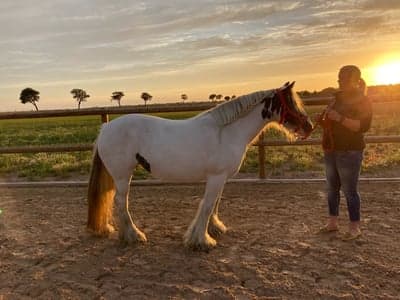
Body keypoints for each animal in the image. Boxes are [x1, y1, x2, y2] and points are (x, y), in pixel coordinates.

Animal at [86, 81, 312, 250]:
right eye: (290, 102)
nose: (309, 127)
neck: (227, 132)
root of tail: (106, 128)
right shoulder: (216, 177)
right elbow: (207, 205)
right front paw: (201, 240)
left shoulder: (221, 178)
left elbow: (215, 204)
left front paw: (215, 228)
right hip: (123, 176)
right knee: (120, 203)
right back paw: (134, 235)